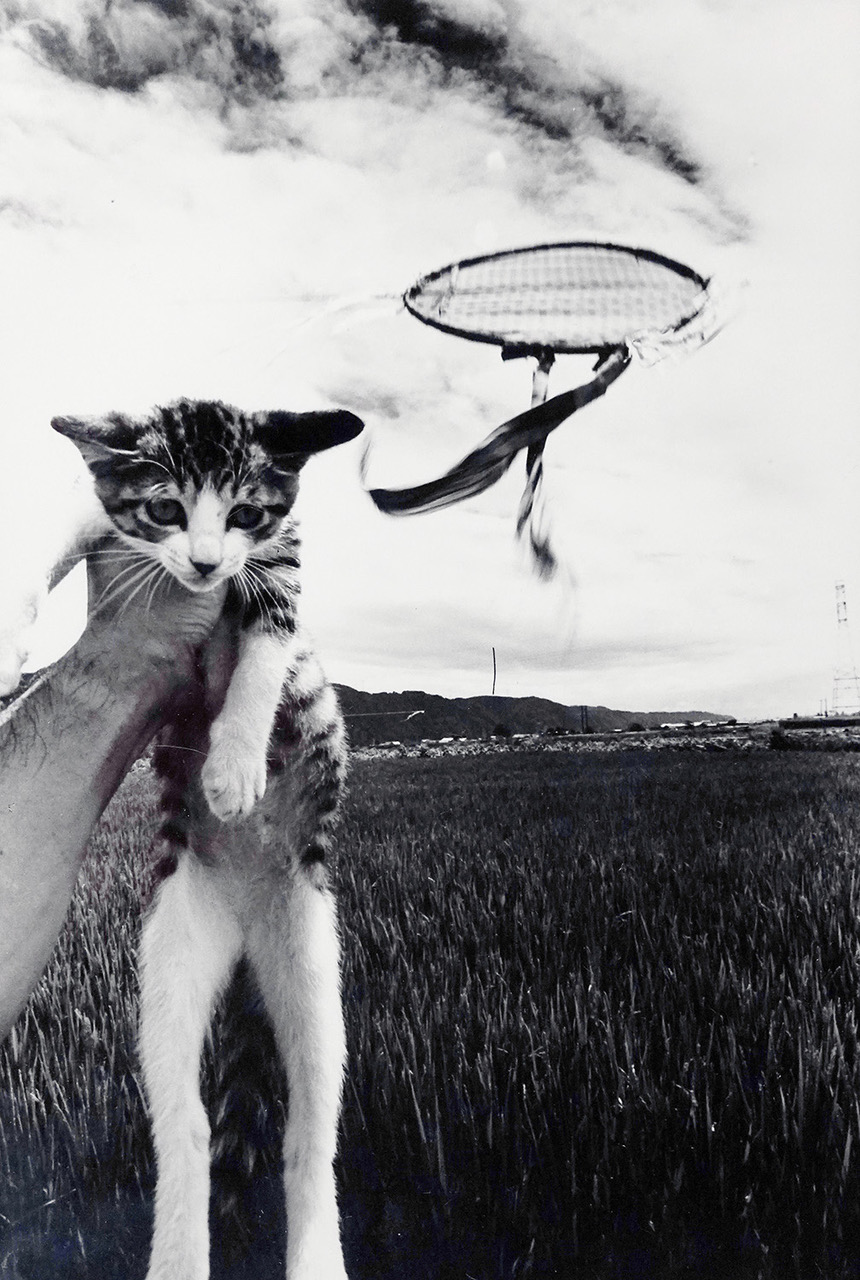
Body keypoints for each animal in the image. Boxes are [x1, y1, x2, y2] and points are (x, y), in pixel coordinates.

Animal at [52, 399, 363, 819]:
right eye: (164, 509)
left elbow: (270, 645)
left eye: (246, 514)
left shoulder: (281, 552)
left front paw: (236, 768)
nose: (205, 564)